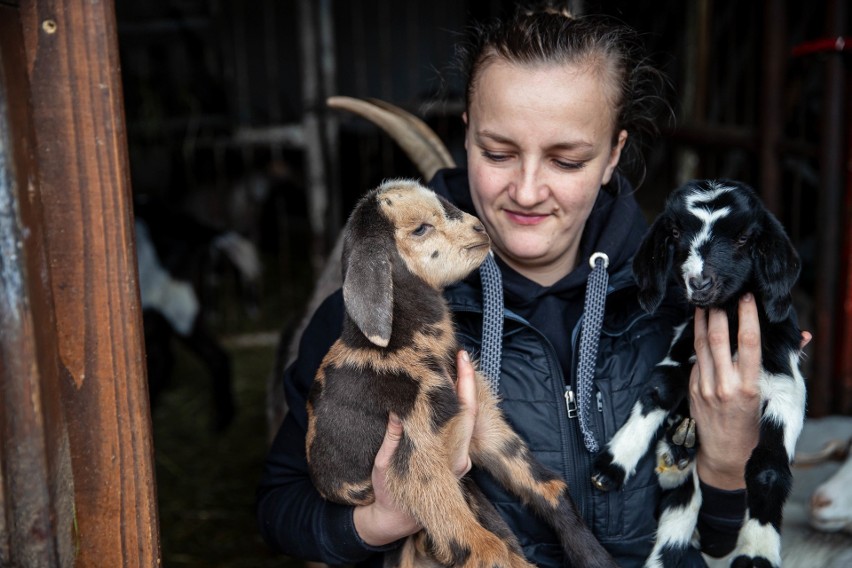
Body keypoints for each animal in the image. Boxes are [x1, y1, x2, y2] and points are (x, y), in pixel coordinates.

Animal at [304, 181, 612, 568]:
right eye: (420, 228)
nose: (480, 228)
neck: (404, 345)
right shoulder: (416, 460)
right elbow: (482, 548)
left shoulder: (482, 424)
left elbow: (548, 488)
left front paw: (596, 558)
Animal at [592, 181, 804, 568]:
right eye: (675, 233)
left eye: (744, 238)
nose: (700, 282)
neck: (731, 320)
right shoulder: (681, 353)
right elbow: (657, 392)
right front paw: (614, 462)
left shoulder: (786, 385)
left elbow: (767, 470)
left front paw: (757, 551)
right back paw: (676, 453)